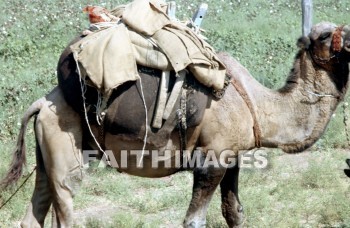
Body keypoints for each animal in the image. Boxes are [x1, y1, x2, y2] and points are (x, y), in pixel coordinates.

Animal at [2, 21, 350, 228]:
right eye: (329, 36)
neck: (257, 106)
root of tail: (42, 102)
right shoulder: (211, 161)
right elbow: (194, 220)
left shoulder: (231, 157)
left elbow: (234, 213)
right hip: (65, 142)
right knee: (66, 198)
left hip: (48, 146)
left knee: (36, 207)